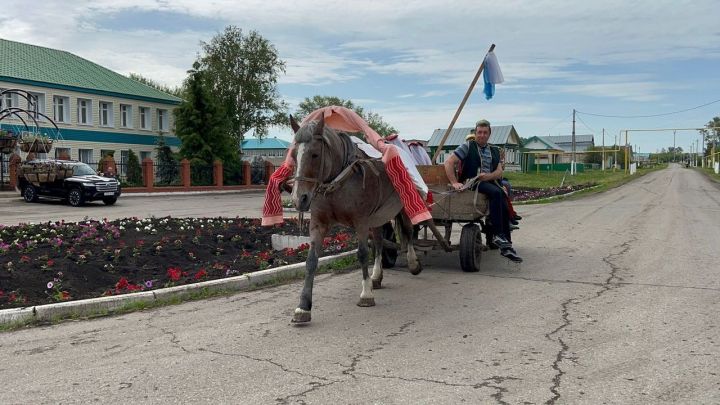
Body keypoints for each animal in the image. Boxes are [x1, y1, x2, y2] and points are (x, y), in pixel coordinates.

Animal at [288, 113, 420, 322]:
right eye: (293, 155)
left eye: (315, 154)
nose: (298, 199)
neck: (338, 182)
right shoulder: (318, 223)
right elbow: (311, 261)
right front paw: (303, 307)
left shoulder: (361, 222)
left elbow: (362, 253)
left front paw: (366, 294)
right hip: (377, 217)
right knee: (379, 241)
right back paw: (376, 276)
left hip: (403, 207)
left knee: (408, 231)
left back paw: (413, 263)